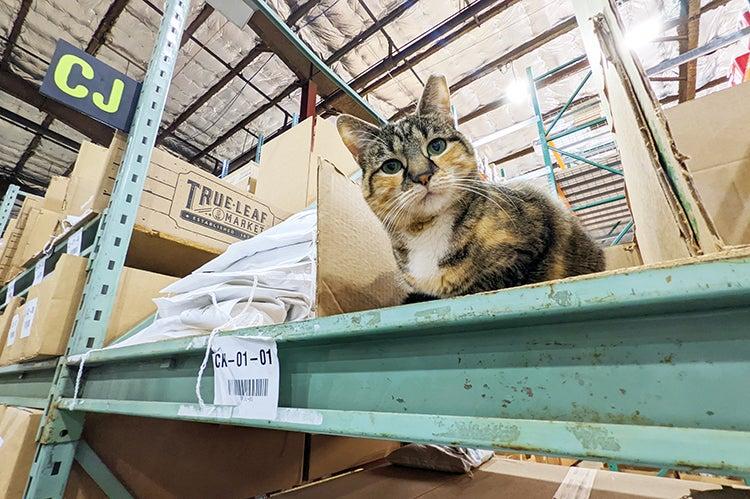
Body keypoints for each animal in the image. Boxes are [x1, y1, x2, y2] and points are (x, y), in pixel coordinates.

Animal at [338, 73, 608, 300]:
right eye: (391, 166)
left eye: (436, 146)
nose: (422, 176)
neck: (427, 231)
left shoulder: (534, 236)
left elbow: (486, 282)